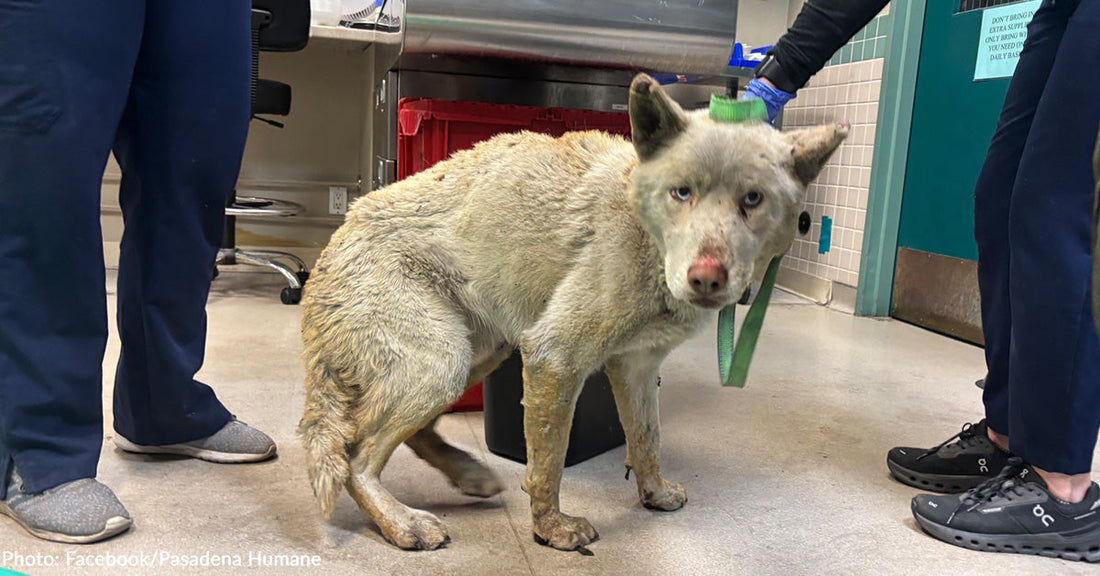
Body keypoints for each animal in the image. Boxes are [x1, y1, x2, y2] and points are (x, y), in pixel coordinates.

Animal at [297, 74, 844, 551]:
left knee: (404, 435)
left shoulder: (636, 369)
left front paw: (654, 493)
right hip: (442, 363)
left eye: (752, 199)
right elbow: (549, 466)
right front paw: (551, 530)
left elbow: (646, 441)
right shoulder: (554, 357)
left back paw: (466, 474)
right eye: (681, 191)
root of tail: (326, 257)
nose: (706, 278)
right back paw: (401, 522)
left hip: (477, 355)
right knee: (354, 457)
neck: (644, 231)